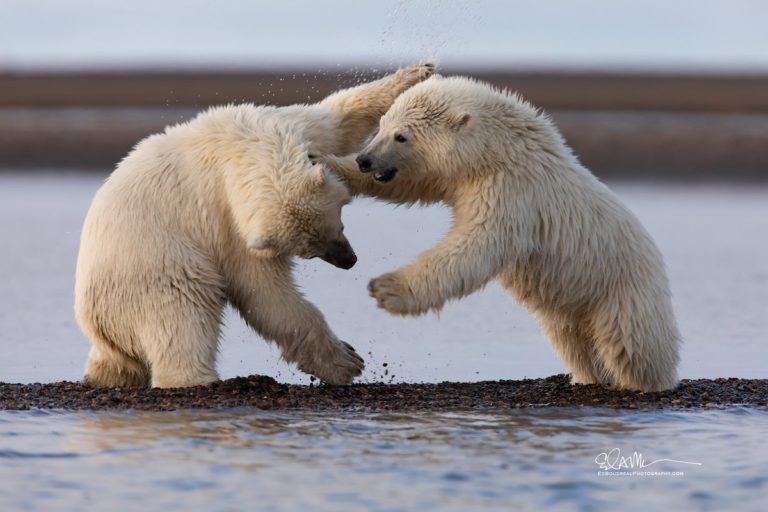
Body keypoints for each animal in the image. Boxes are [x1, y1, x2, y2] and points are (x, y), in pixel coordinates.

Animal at [74, 63, 435, 388]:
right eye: (308, 252)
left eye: (340, 224)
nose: (350, 261)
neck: (240, 149)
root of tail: (94, 320)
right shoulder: (229, 225)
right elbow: (264, 292)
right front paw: (346, 361)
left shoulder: (286, 128)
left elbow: (336, 121)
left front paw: (418, 72)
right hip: (156, 273)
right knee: (183, 318)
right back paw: (203, 379)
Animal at [319, 75, 680, 392]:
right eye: (381, 127)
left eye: (401, 136)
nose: (366, 160)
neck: (497, 150)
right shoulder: (457, 178)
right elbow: (411, 184)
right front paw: (325, 161)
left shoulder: (512, 194)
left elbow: (475, 247)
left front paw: (387, 289)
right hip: (574, 304)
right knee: (572, 341)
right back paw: (587, 376)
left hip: (621, 292)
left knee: (633, 347)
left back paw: (645, 383)